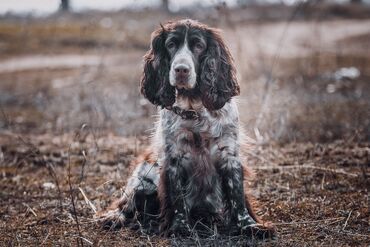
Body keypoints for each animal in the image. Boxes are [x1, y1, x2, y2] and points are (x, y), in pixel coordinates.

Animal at [99, 18, 274, 238]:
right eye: (171, 44)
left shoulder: (229, 154)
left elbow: (237, 195)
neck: (195, 110)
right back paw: (114, 217)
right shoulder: (174, 158)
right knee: (127, 202)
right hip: (142, 177)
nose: (181, 70)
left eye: (198, 45)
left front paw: (249, 225)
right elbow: (177, 198)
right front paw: (180, 228)